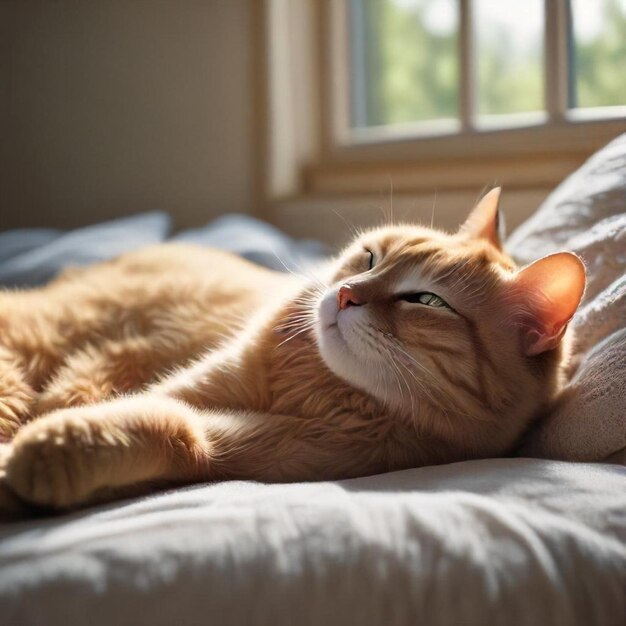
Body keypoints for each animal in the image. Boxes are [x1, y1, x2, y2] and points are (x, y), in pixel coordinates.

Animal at [1, 189, 584, 512]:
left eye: (426, 300)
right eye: (369, 258)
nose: (346, 293)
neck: (317, 390)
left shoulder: (242, 450)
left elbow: (166, 429)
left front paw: (44, 458)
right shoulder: (197, 386)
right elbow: (133, 409)